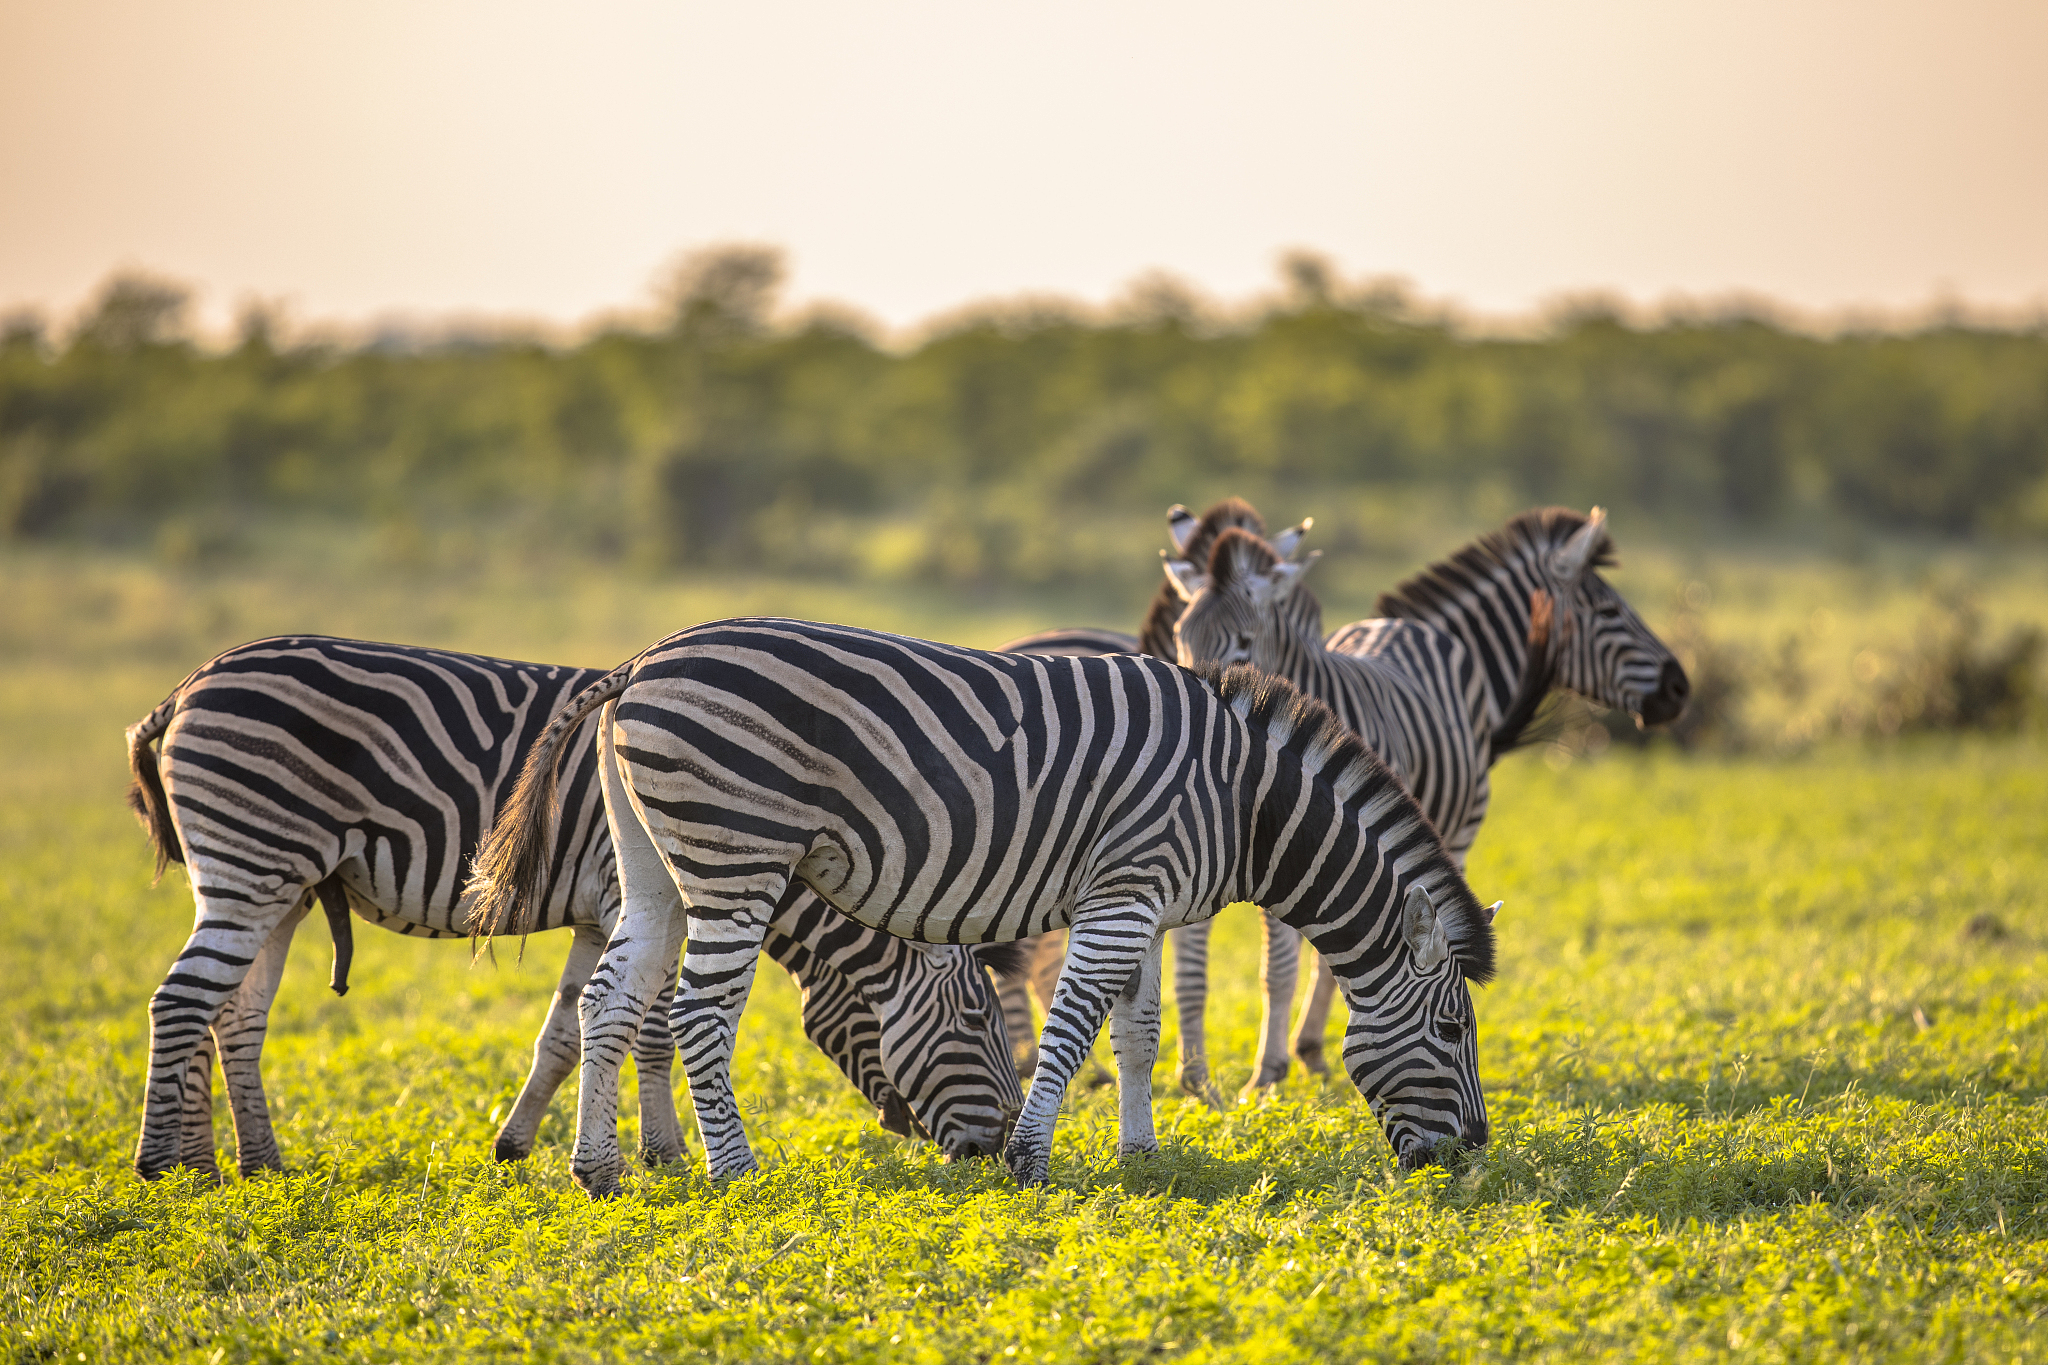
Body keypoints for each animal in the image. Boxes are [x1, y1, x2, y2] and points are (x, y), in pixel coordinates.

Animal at [124, 635, 1023, 1182]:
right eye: (978, 1019)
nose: (996, 1148)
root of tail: (185, 688)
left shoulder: (599, 915)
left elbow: (564, 1031)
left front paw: (518, 1143)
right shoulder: (639, 894)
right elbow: (653, 1031)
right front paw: (665, 1154)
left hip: (276, 885)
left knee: (232, 1012)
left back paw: (244, 1163)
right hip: (252, 859)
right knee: (181, 1000)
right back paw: (166, 1165)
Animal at [467, 618, 1500, 1192]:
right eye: (1455, 1031)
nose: (1474, 1154)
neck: (1244, 798)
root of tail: (638, 665)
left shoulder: (1139, 897)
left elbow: (1136, 1032)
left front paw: (1139, 1155)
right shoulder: (1123, 894)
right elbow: (1074, 1026)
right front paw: (1032, 1160)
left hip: (652, 862)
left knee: (611, 1001)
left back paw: (598, 1171)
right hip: (735, 855)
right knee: (699, 1014)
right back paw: (737, 1174)